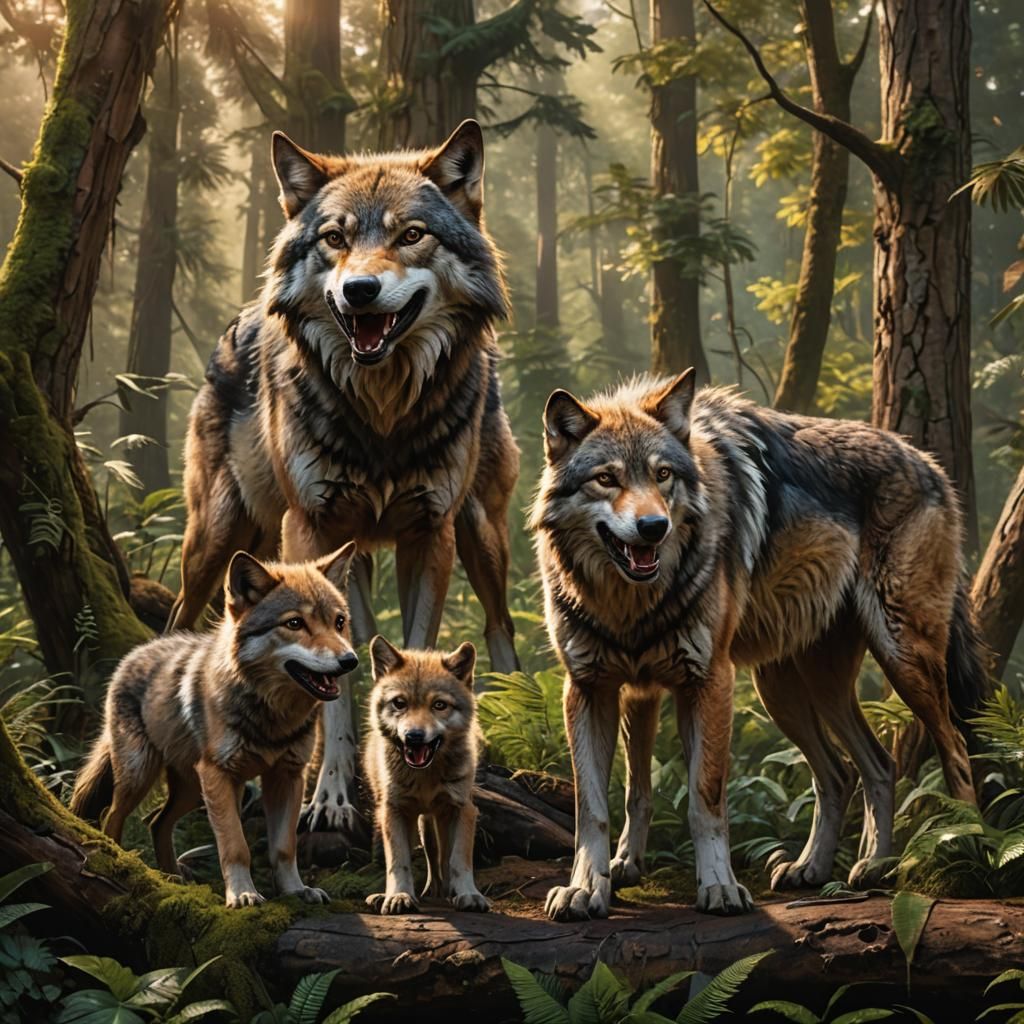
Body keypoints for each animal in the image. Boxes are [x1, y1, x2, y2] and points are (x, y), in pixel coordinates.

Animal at [71, 545, 358, 908]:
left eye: (339, 622)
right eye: (295, 623)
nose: (350, 660)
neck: (272, 716)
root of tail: (136, 651)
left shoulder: (289, 775)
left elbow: (284, 847)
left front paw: (296, 891)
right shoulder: (219, 775)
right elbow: (235, 846)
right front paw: (243, 894)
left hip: (191, 790)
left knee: (157, 823)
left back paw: (174, 880)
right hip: (142, 775)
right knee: (112, 817)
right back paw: (125, 865)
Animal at [166, 119, 521, 832]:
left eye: (411, 234)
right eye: (335, 238)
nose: (359, 290)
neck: (382, 414)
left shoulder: (431, 535)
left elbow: (414, 651)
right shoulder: (313, 527)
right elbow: (339, 684)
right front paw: (328, 797)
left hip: (483, 535)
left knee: (502, 629)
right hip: (216, 540)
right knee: (183, 618)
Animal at [363, 635, 488, 915]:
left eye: (439, 705)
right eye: (399, 703)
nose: (414, 736)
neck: (425, 778)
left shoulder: (463, 809)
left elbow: (458, 860)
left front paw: (469, 894)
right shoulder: (394, 811)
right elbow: (399, 861)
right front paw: (399, 896)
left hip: (434, 820)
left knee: (441, 857)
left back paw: (446, 892)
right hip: (413, 822)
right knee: (427, 857)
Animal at [531, 370, 984, 921]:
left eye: (663, 475)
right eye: (606, 479)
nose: (653, 527)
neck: (631, 605)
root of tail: (929, 463)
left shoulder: (708, 681)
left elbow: (704, 800)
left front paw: (720, 888)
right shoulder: (597, 689)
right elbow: (604, 803)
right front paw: (591, 885)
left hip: (900, 658)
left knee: (953, 747)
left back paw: (966, 853)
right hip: (793, 692)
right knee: (860, 769)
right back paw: (840, 867)